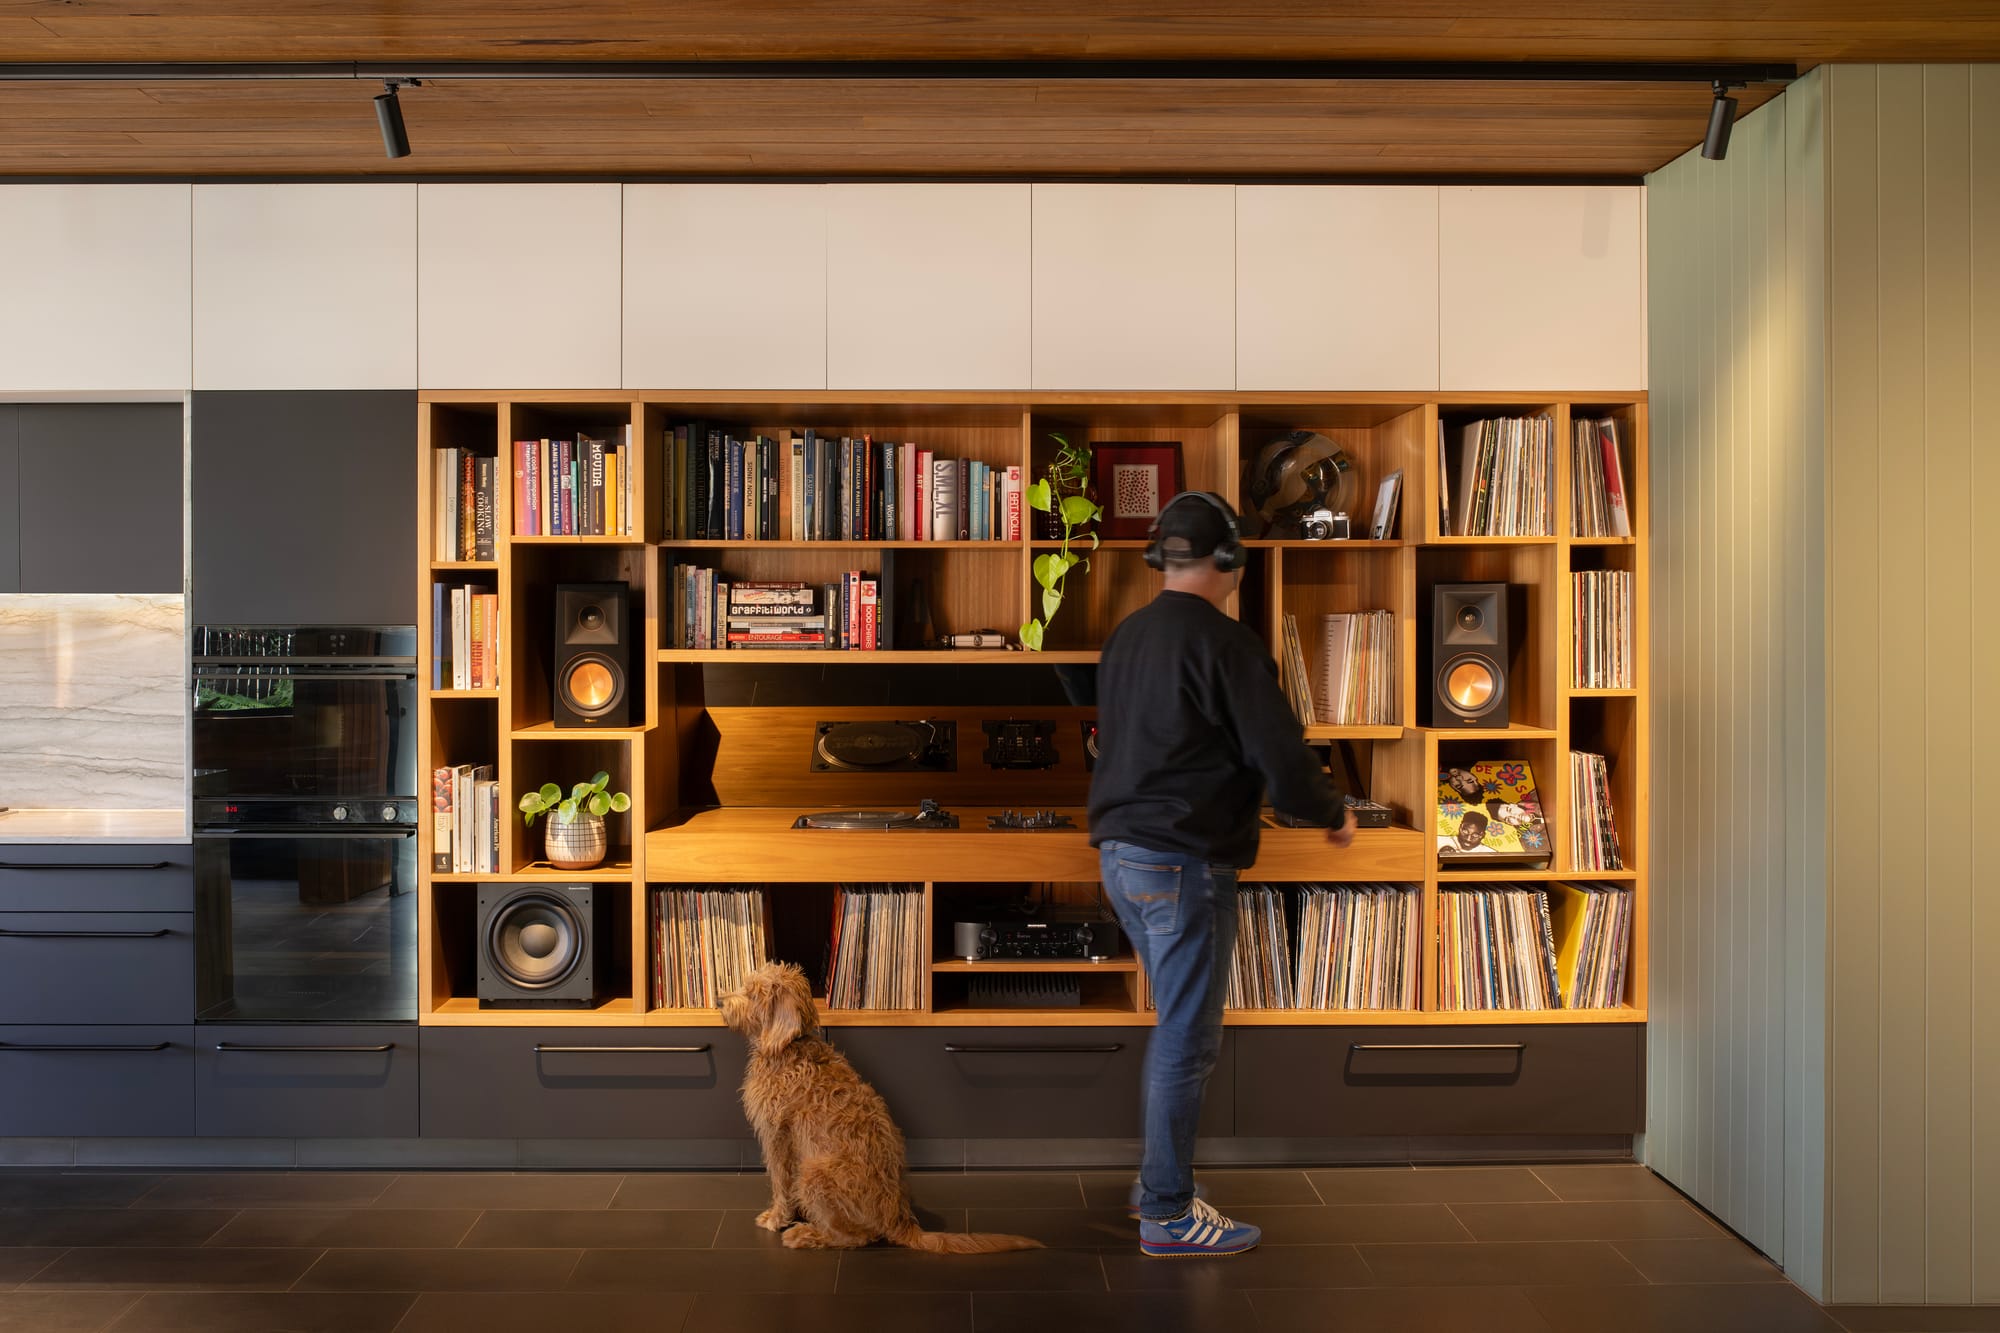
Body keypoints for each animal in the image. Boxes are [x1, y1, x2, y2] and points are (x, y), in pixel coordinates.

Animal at [728, 956, 1048, 1248]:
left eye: (753, 993)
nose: (721, 1001)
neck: (789, 1047)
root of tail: (898, 1220)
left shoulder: (776, 1136)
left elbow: (779, 1182)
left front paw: (776, 1218)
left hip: (813, 1174)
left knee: (856, 1237)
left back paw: (806, 1234)